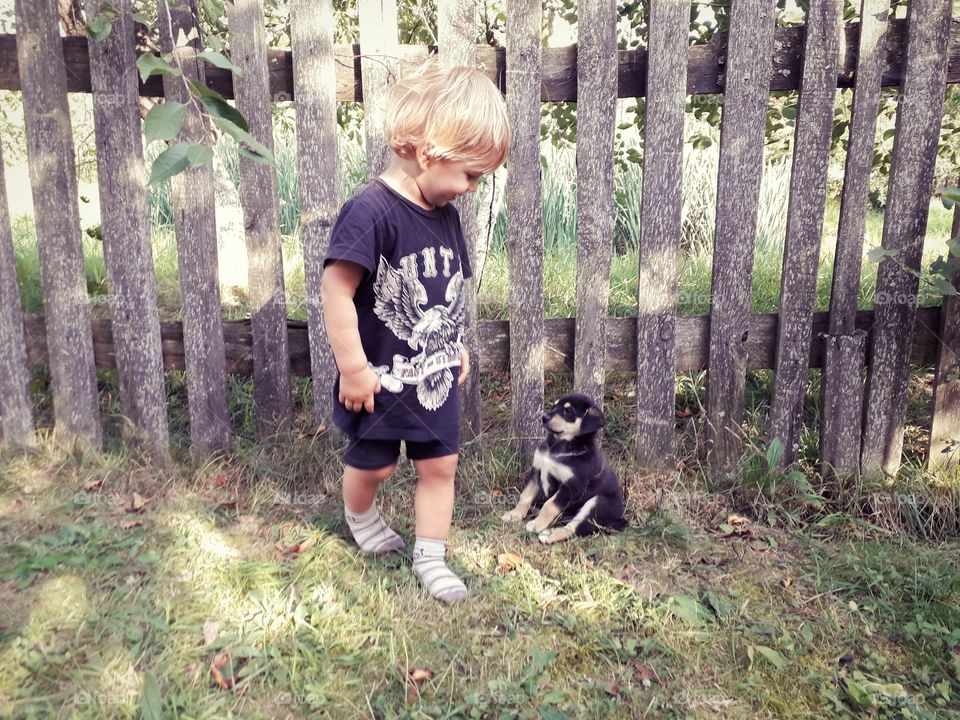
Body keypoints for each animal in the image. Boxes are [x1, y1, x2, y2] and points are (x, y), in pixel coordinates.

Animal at [502, 396, 632, 544]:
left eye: (568, 411)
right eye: (554, 406)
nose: (544, 418)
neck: (558, 448)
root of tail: (619, 518)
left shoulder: (571, 487)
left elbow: (549, 505)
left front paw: (537, 524)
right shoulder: (536, 471)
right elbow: (525, 496)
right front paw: (515, 514)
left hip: (598, 503)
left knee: (573, 528)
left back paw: (549, 535)